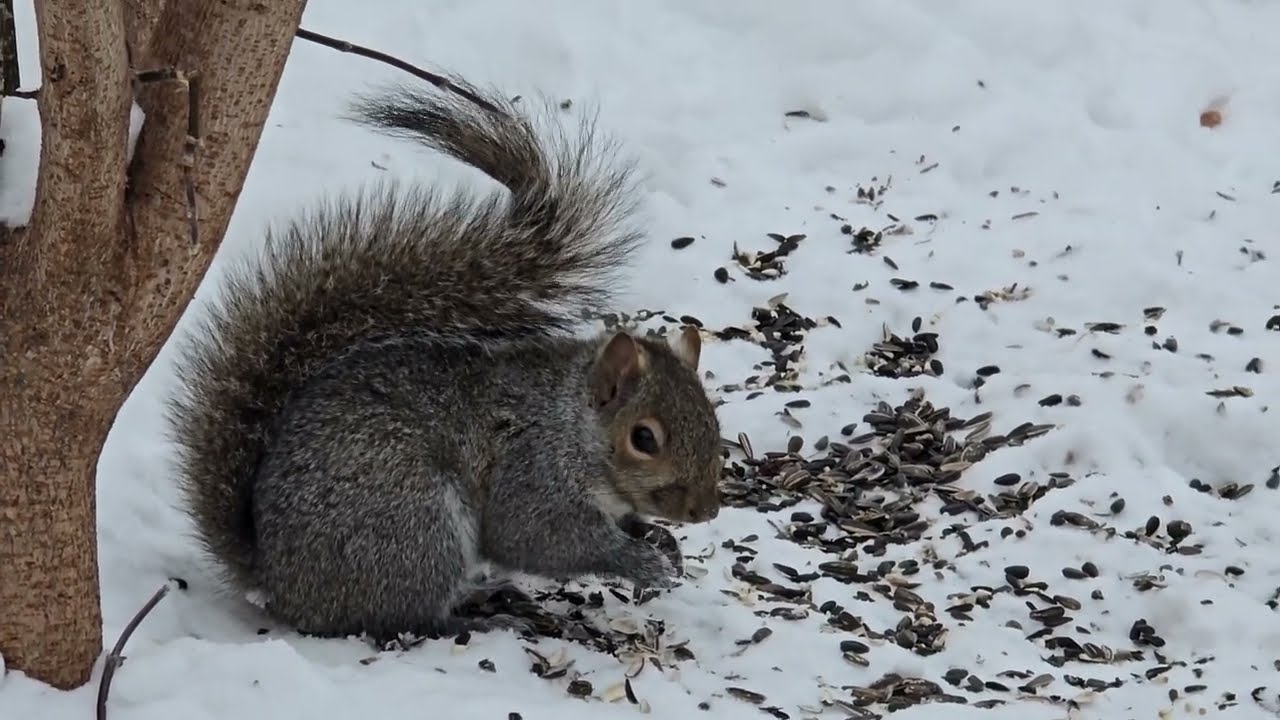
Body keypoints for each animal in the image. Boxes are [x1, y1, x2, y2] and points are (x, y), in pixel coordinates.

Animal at [165, 77, 725, 643]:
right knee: (410, 615)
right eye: (644, 438)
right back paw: (481, 614)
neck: (570, 424)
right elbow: (536, 537)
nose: (705, 510)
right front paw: (638, 561)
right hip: (414, 523)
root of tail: (283, 584)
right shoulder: (531, 473)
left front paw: (660, 543)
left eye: (712, 420)